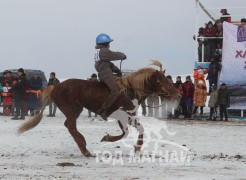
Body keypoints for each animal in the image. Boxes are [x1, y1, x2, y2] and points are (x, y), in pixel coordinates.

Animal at [16, 60, 179, 156]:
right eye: (165, 81)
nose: (178, 94)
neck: (130, 90)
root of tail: (55, 86)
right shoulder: (123, 115)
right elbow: (127, 132)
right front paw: (109, 138)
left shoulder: (128, 116)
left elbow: (136, 129)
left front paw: (137, 147)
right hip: (72, 110)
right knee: (71, 126)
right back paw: (84, 148)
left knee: (69, 125)